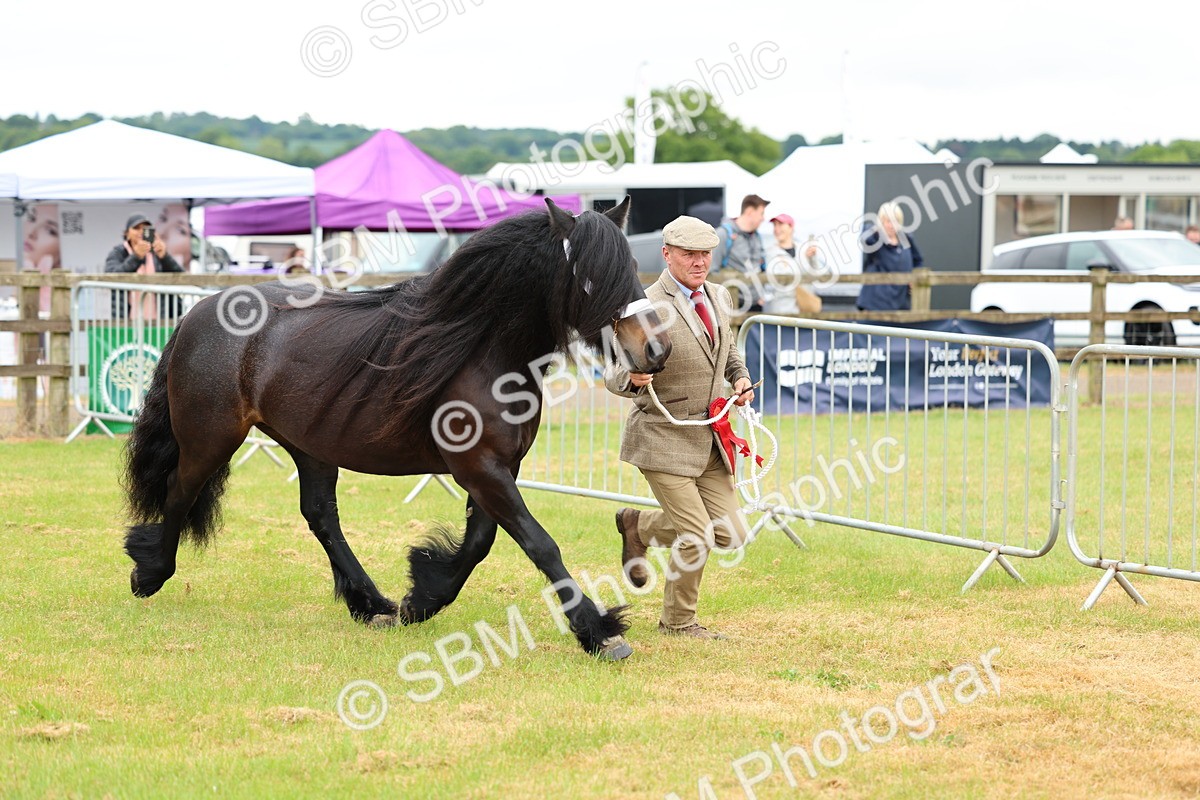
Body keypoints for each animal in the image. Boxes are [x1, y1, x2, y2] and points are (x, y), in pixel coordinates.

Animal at [120, 197, 671, 660]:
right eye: (591, 277)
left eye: (632, 268)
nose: (655, 351)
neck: (483, 351)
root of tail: (196, 313)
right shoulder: (481, 468)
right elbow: (540, 544)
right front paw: (598, 631)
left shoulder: (497, 469)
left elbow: (478, 545)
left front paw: (420, 598)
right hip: (209, 439)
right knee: (179, 492)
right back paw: (150, 573)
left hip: (308, 446)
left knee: (320, 515)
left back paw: (371, 603)